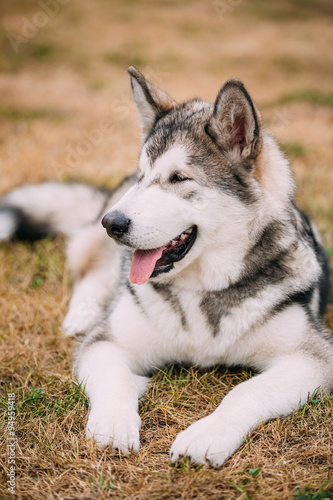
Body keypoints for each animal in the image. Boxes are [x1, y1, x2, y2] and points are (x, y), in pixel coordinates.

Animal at [0, 67, 332, 468]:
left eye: (178, 178)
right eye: (143, 176)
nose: (112, 224)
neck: (201, 291)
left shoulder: (310, 359)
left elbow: (246, 391)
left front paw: (206, 435)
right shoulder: (107, 343)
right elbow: (114, 377)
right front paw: (113, 425)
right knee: (93, 271)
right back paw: (82, 313)